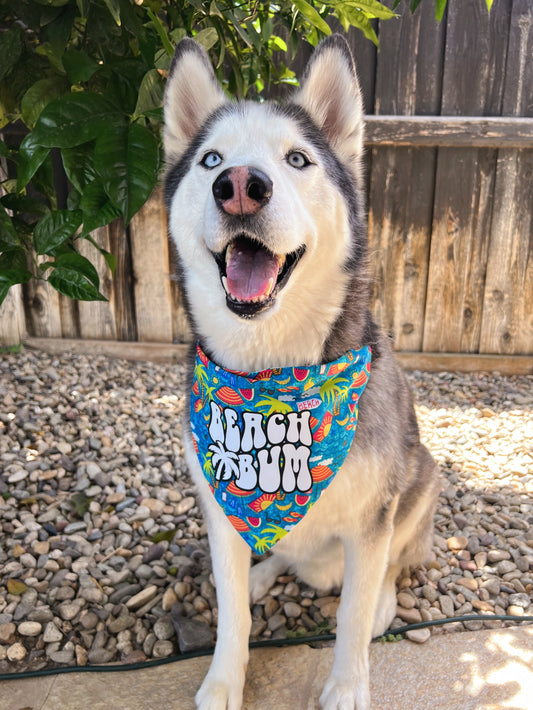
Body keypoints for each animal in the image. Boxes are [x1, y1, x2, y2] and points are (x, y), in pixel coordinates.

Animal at [164, 34, 438, 710]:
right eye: (211, 159)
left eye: (297, 159)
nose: (240, 184)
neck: (274, 381)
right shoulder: (221, 508)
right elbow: (232, 614)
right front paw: (223, 680)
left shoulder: (372, 517)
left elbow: (352, 615)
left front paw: (347, 687)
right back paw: (264, 572)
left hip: (422, 475)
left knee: (394, 563)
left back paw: (383, 598)